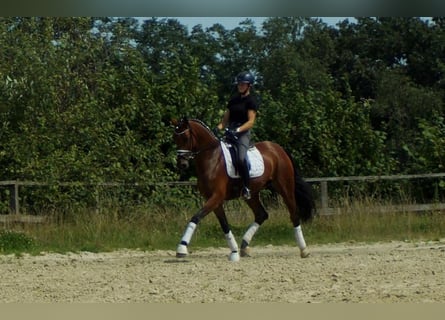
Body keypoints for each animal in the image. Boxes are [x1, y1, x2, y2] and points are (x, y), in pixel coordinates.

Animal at [172, 116, 314, 262]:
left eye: (186, 138)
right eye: (174, 138)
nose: (182, 164)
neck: (211, 158)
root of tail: (278, 149)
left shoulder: (216, 196)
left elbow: (196, 217)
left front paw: (181, 248)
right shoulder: (213, 200)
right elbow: (224, 225)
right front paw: (234, 252)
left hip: (285, 188)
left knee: (294, 214)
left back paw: (304, 250)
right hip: (252, 194)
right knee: (261, 214)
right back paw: (244, 247)